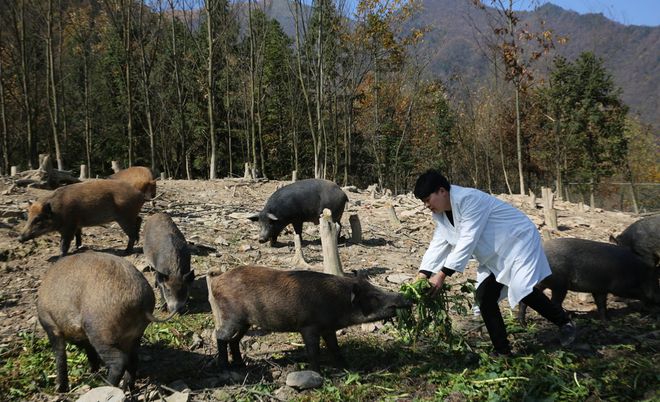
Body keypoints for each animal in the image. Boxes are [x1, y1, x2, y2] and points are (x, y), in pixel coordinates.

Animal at [208, 266, 412, 372]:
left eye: (376, 288)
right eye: (373, 296)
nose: (406, 297)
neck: (335, 301)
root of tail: (217, 280)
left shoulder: (328, 329)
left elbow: (335, 348)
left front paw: (347, 368)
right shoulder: (308, 327)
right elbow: (314, 352)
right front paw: (318, 374)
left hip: (245, 322)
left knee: (234, 340)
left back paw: (240, 365)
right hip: (232, 316)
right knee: (220, 335)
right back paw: (224, 367)